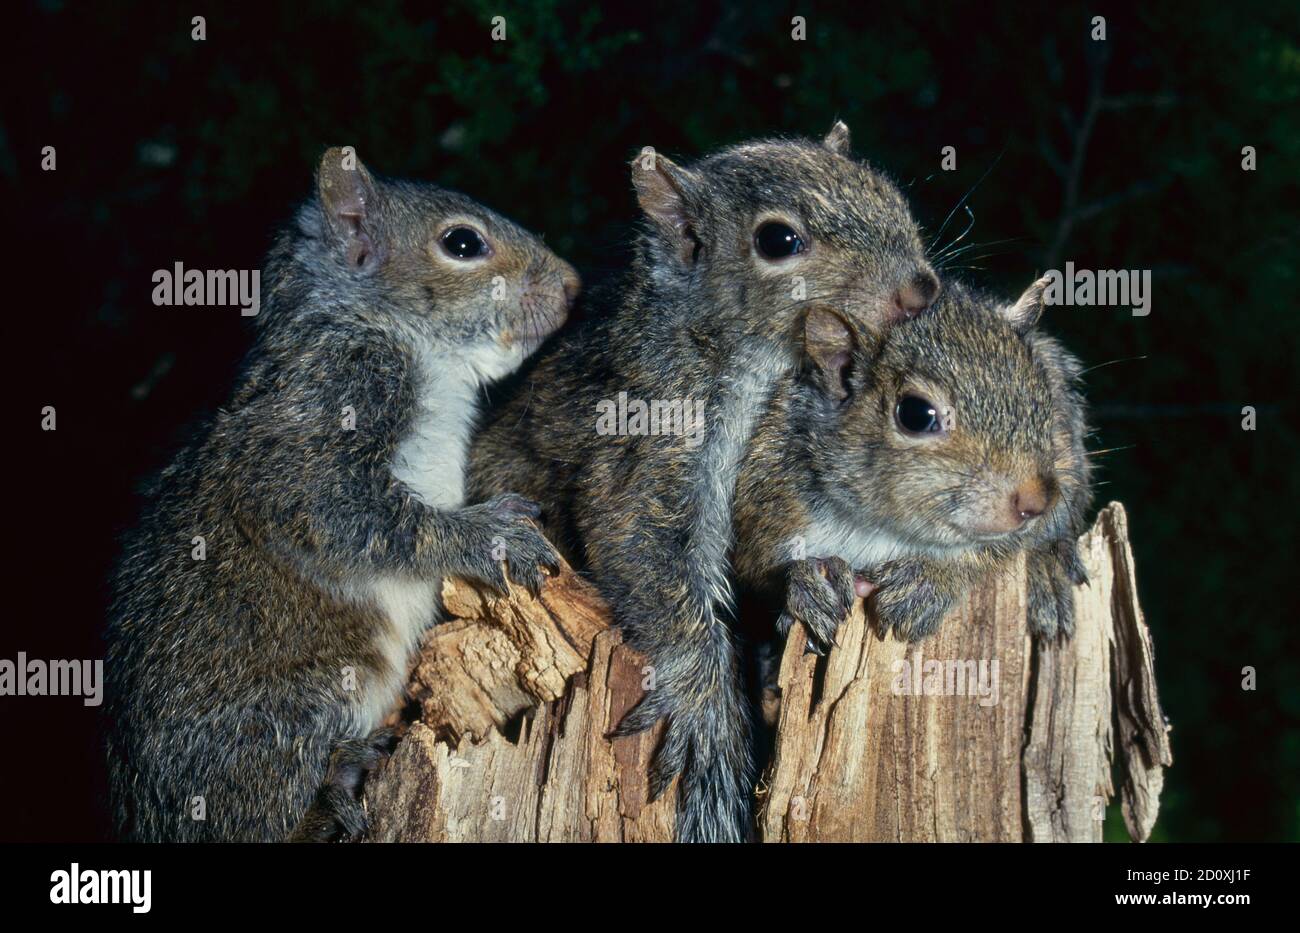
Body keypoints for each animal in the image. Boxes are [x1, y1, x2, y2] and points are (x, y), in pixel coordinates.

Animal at [105, 147, 578, 842]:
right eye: (462, 243)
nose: (572, 286)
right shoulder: (326, 403)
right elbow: (334, 511)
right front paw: (489, 535)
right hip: (293, 712)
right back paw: (335, 786)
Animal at [468, 122, 938, 842]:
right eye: (779, 240)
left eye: (891, 196)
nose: (920, 290)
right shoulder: (646, 443)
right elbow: (647, 554)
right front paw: (706, 702)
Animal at [731, 275, 1093, 655]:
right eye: (916, 414)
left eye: (1043, 395)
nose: (1036, 501)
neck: (880, 527)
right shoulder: (767, 493)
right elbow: (760, 569)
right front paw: (808, 582)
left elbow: (1000, 546)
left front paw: (929, 580)